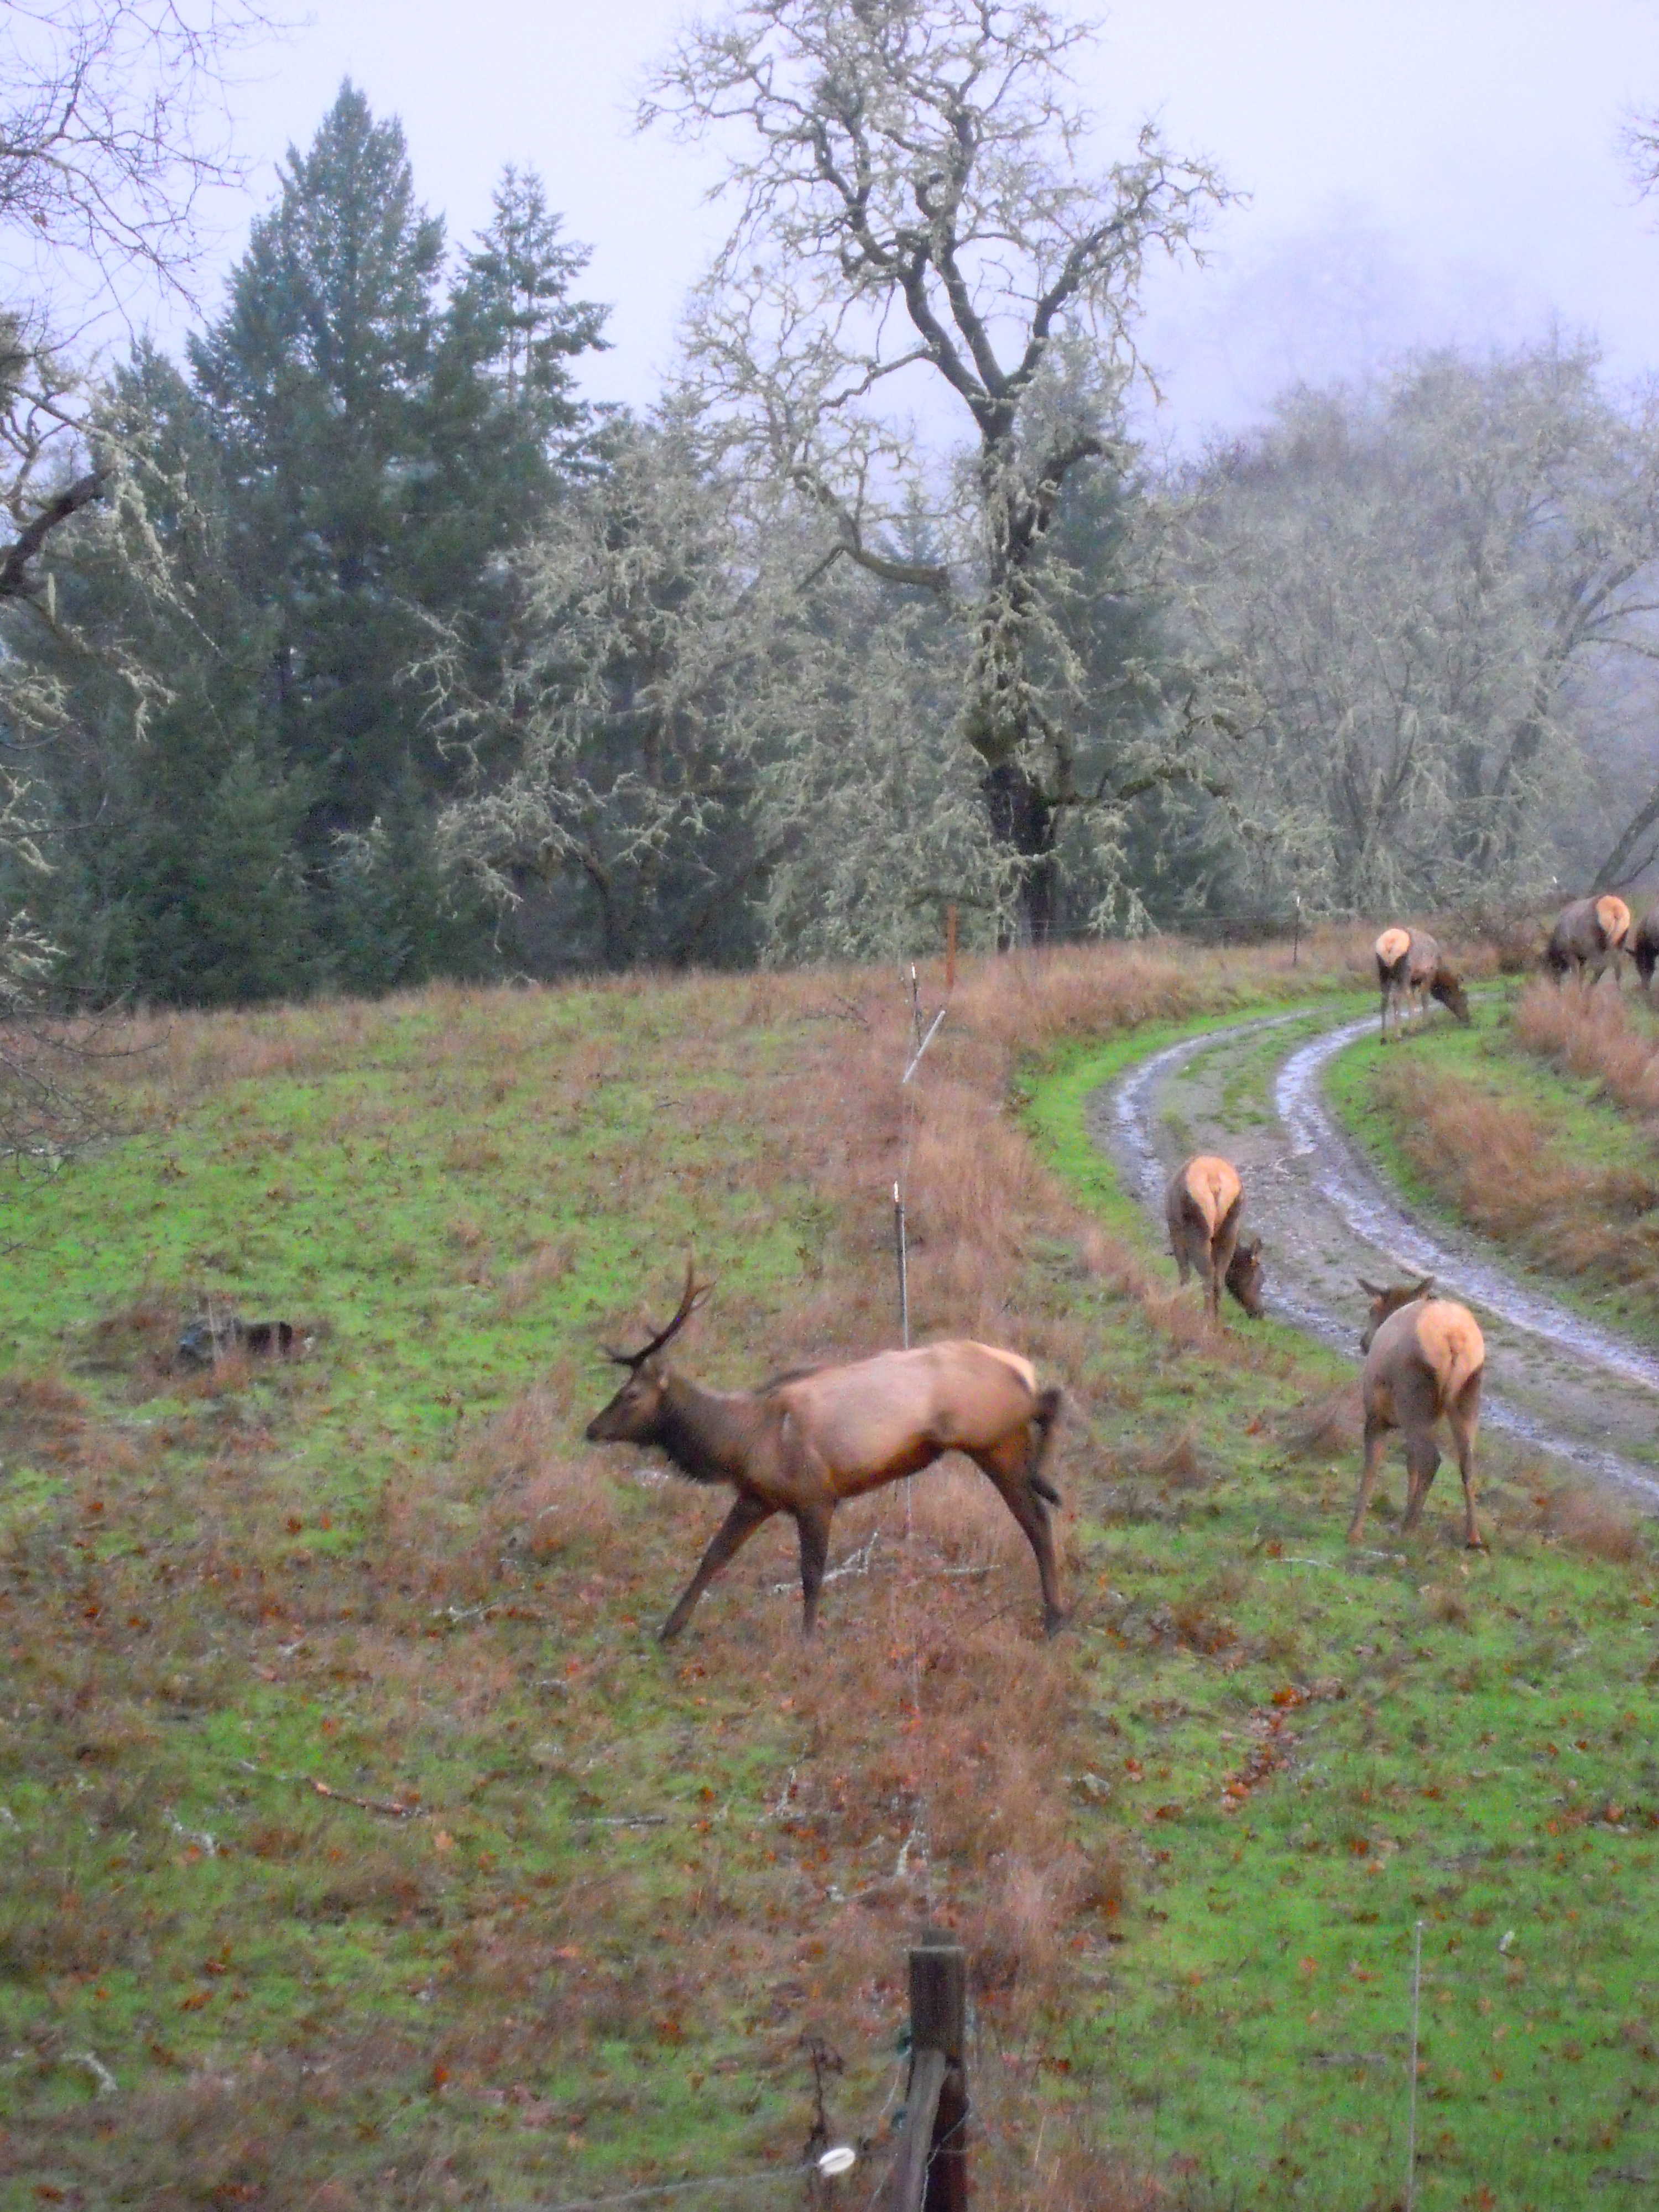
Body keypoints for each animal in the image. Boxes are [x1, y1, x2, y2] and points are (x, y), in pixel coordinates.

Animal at [583, 1262, 1068, 1641]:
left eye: (631, 1394)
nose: (591, 1429)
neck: (741, 1441)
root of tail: (1020, 1367)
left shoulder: (815, 1495)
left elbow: (812, 1573)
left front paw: (808, 1639)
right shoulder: (758, 1496)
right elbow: (714, 1556)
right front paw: (669, 1629)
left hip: (987, 1432)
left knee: (1048, 1427)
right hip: (999, 1438)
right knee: (1037, 1508)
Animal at [1165, 1155, 1264, 1323]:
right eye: (1260, 1277)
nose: (1260, 1312)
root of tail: (1215, 1182)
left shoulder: (1176, 1231)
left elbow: (1184, 1273)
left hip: (1198, 1230)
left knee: (1207, 1275)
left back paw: (1206, 1318)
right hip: (1229, 1229)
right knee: (1218, 1279)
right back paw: (1215, 1321)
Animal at [1347, 1276, 1485, 1549]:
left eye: (1372, 1310)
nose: (1364, 1342)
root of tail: (1454, 1339)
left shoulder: (1377, 1415)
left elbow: (1373, 1464)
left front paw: (1354, 1532)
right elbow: (1411, 1462)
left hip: (1413, 1396)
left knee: (1432, 1459)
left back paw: (1408, 1528)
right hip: (1467, 1395)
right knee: (1467, 1463)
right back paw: (1472, 1538)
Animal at [1374, 927, 1470, 1040]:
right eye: (1464, 1000)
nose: (1468, 1019)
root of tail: (1389, 945)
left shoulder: (1414, 981)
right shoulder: (1427, 975)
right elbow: (1424, 999)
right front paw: (1425, 1024)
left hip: (1384, 973)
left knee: (1384, 1000)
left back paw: (1384, 1037)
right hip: (1404, 973)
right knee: (1400, 999)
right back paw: (1403, 1033)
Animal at [1546, 895, 1631, 988]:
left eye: (1551, 967)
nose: (1555, 985)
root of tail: (1615, 910)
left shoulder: (1570, 953)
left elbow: (1576, 974)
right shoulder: (1581, 957)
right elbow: (1581, 974)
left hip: (1595, 946)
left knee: (1600, 967)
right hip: (1619, 943)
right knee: (1617, 969)